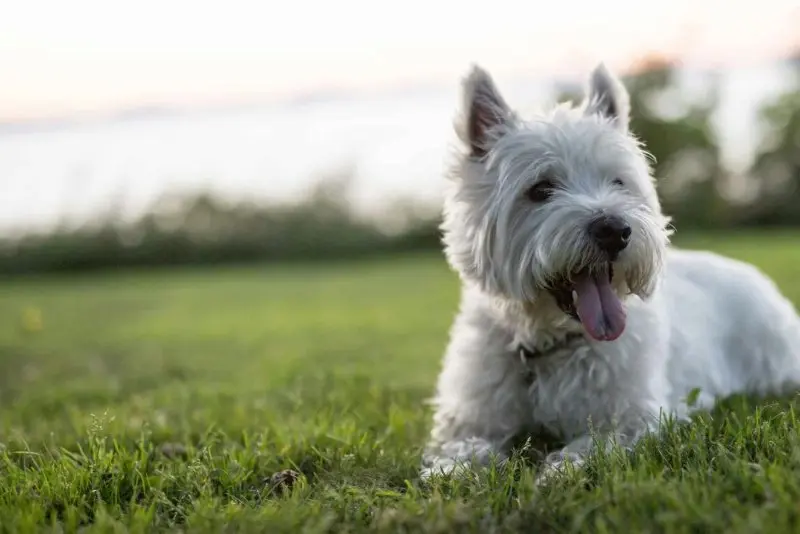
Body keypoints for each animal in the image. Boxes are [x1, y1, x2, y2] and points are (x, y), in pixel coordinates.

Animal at [424, 62, 800, 482]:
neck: (548, 345)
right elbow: (464, 445)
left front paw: (559, 472)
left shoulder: (635, 416)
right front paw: (456, 470)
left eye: (618, 181)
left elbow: (596, 443)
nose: (615, 230)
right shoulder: (472, 416)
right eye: (540, 189)